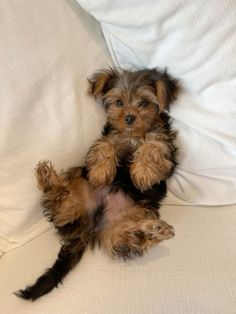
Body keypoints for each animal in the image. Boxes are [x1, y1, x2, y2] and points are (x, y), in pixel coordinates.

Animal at [16, 67, 179, 302]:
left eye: (144, 103)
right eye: (119, 102)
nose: (129, 118)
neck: (132, 135)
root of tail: (91, 226)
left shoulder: (165, 145)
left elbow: (153, 144)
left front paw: (142, 172)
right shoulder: (111, 136)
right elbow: (105, 145)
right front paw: (101, 172)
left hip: (131, 217)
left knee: (123, 240)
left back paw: (151, 232)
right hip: (77, 180)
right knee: (65, 209)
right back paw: (49, 181)